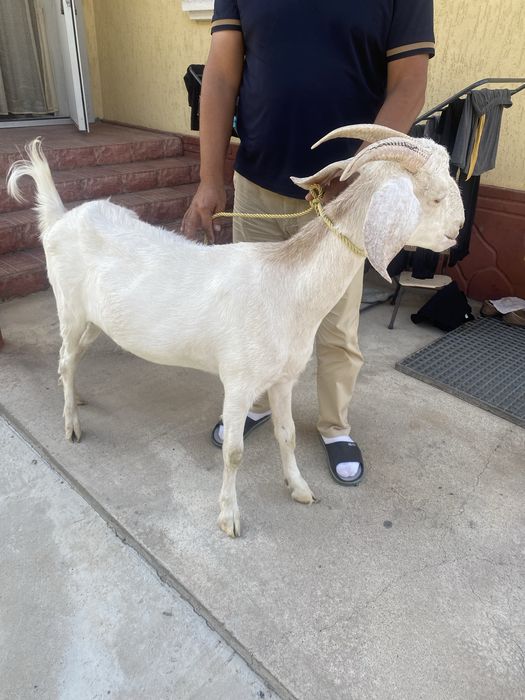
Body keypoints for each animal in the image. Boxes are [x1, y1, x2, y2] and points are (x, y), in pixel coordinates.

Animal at [6, 125, 464, 537]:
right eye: (434, 196)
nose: (458, 231)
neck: (286, 289)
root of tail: (60, 219)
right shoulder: (239, 382)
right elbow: (234, 451)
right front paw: (229, 519)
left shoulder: (283, 379)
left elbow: (288, 435)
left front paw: (299, 488)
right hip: (69, 309)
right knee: (65, 359)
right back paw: (71, 425)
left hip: (95, 319)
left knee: (73, 360)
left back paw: (78, 397)